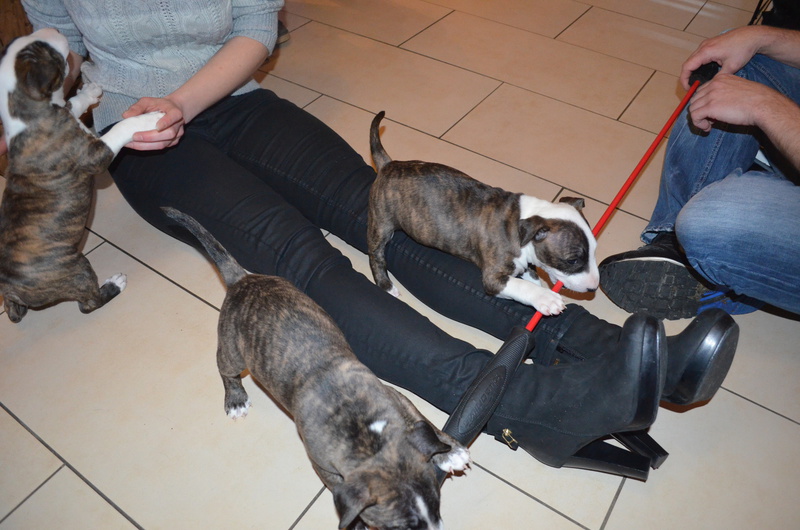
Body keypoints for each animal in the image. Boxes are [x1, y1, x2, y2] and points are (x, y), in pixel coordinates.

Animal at [0, 28, 163, 322]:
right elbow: (121, 128)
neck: (26, 113)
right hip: (78, 269)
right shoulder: (94, 155)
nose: (51, 29)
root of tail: (11, 291)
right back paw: (113, 285)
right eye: (44, 48)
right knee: (88, 304)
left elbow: (73, 103)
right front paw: (148, 119)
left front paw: (88, 91)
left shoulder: (65, 111)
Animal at [163, 207, 470, 530]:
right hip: (233, 351)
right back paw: (235, 399)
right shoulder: (325, 467)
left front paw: (450, 452)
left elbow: (424, 424)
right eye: (400, 528)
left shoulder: (398, 399)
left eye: (437, 505)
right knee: (225, 369)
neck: (367, 436)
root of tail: (240, 279)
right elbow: (342, 494)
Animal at [367, 111, 599, 316]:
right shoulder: (493, 279)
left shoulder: (524, 264)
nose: (594, 288)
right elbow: (521, 286)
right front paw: (546, 298)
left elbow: (532, 276)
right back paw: (387, 286)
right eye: (572, 260)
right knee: (376, 255)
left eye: (594, 251)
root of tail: (388, 165)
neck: (524, 220)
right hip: (381, 224)